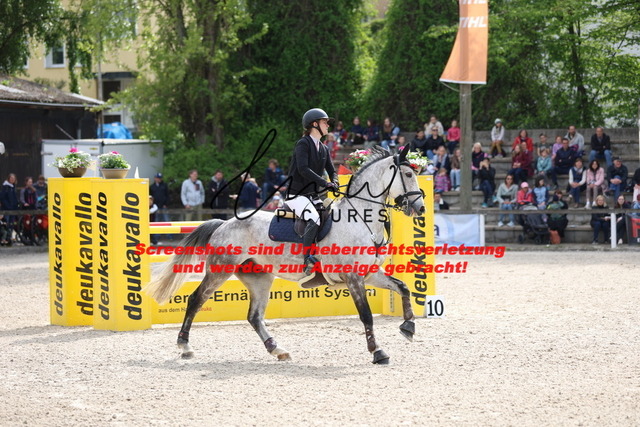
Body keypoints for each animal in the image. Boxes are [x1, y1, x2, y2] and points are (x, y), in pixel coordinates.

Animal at [145, 145, 426, 364]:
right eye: (408, 174)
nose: (420, 208)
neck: (360, 219)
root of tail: (224, 223)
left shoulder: (370, 274)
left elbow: (403, 287)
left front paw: (408, 327)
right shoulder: (353, 278)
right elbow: (366, 315)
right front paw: (378, 352)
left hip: (260, 278)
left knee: (254, 316)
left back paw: (277, 349)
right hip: (220, 270)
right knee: (196, 300)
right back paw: (185, 346)